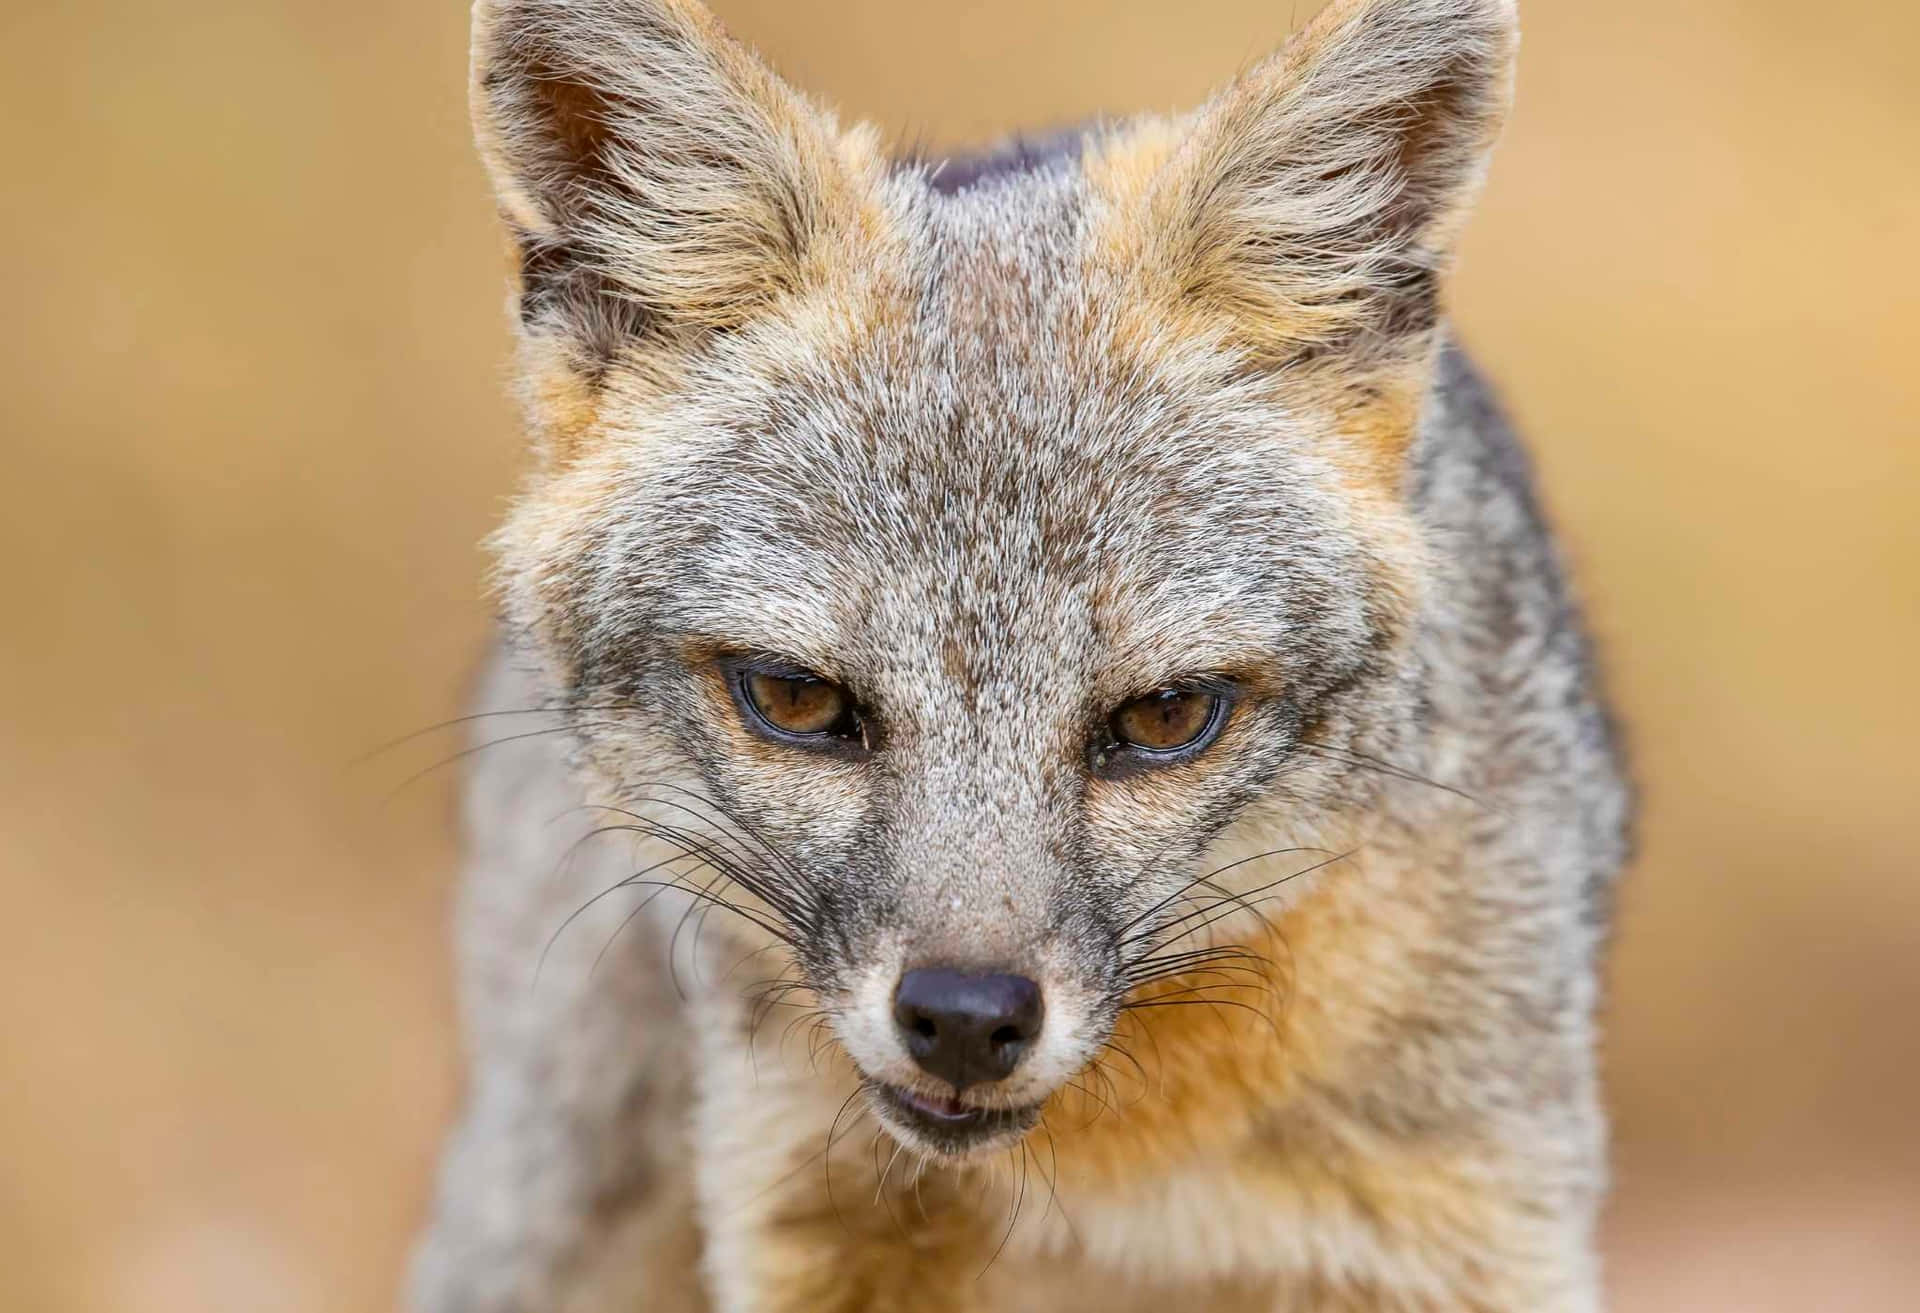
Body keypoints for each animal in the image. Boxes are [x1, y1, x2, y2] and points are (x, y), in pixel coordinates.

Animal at [409, 0, 1632, 1309]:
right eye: (795, 697)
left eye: (1165, 715)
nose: (963, 1018)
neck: (1112, 1183)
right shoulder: (799, 1220)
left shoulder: (1468, 1225)